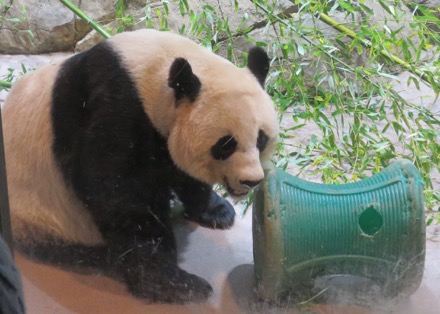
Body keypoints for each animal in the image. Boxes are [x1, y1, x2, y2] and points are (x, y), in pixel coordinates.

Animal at [2, 28, 278, 302]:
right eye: (226, 145)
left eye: (261, 139)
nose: (250, 180)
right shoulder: (115, 111)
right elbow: (120, 195)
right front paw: (172, 283)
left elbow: (183, 172)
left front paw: (217, 210)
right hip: (40, 212)